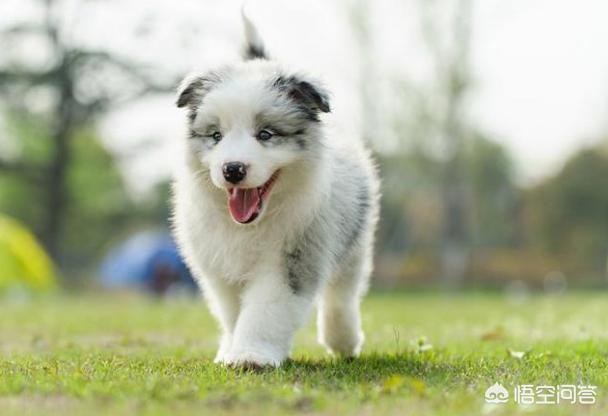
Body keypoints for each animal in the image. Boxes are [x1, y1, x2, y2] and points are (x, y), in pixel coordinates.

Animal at [171, 12, 378, 368]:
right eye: (216, 136)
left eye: (265, 135)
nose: (232, 169)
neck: (251, 226)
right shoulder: (219, 266)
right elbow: (233, 313)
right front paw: (234, 349)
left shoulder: (291, 257)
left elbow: (266, 310)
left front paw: (252, 355)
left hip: (354, 241)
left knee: (342, 295)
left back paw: (343, 341)